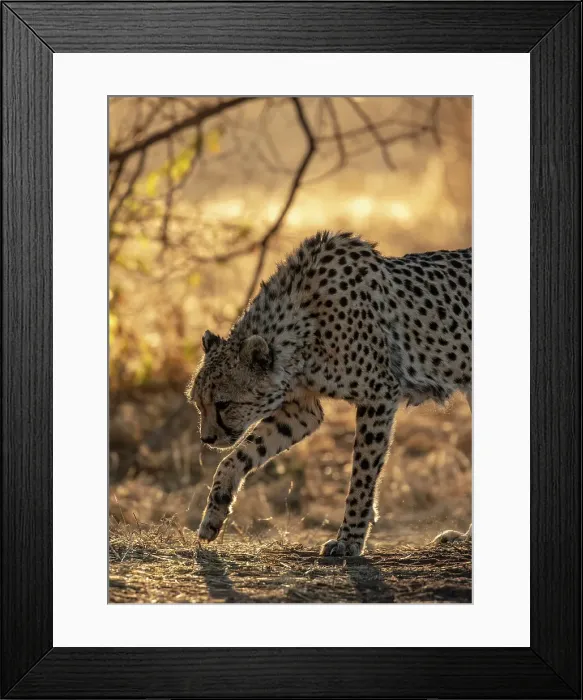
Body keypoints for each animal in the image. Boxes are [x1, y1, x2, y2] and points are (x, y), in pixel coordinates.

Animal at [186, 231, 472, 556]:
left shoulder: (379, 395)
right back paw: (467, 537)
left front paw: (349, 539)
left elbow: (362, 474)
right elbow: (238, 456)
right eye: (198, 404)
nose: (207, 439)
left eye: (223, 404)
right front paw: (215, 512)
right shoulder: (301, 411)